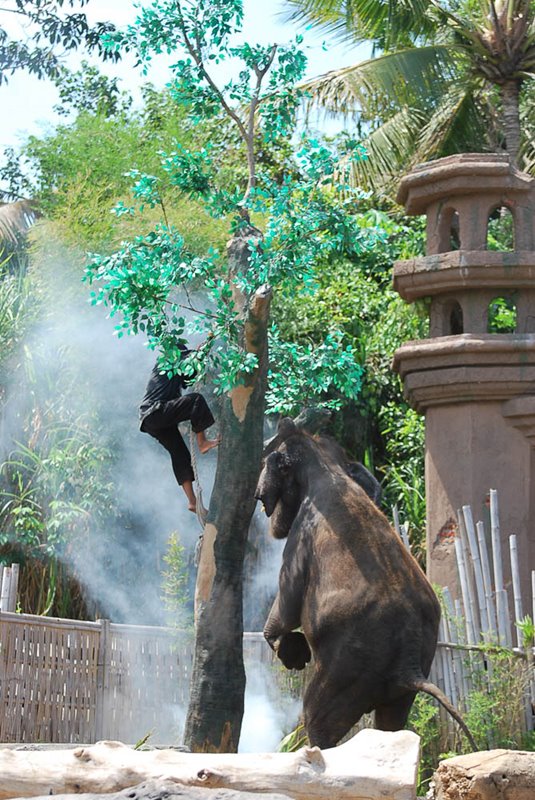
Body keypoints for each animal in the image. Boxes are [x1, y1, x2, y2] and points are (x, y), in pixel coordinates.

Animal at [255, 418, 475, 750]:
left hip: (347, 667)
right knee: (391, 723)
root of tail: (409, 663)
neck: (326, 464)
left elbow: (289, 601)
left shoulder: (300, 539)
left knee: (317, 718)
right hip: (404, 677)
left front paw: (288, 651)